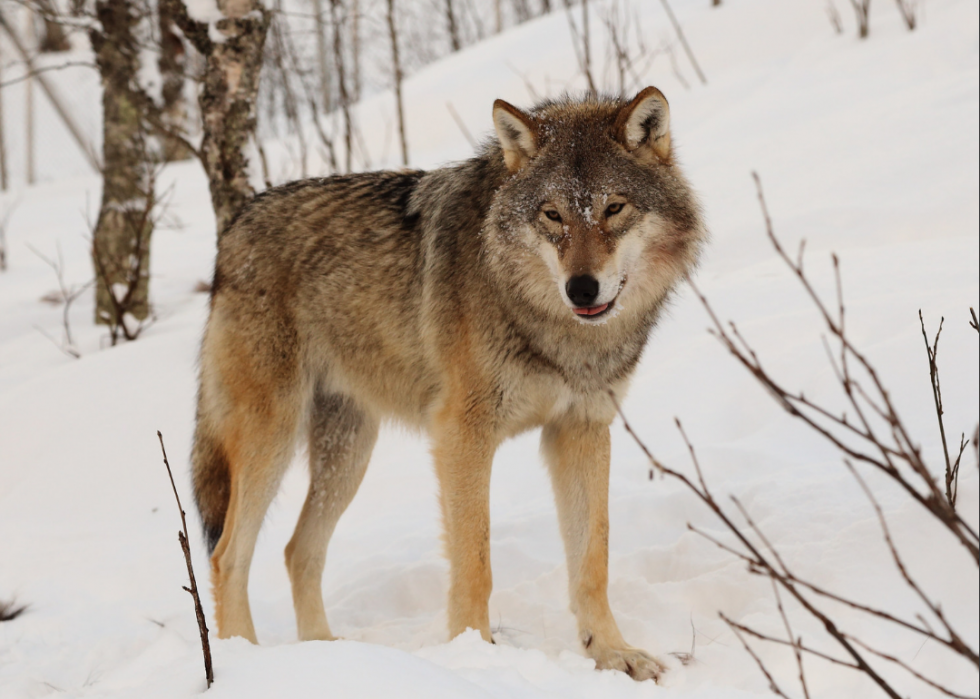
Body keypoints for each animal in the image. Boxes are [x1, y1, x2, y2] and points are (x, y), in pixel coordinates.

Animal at [191, 87, 708, 684]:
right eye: (552, 215)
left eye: (614, 208)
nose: (581, 289)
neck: (554, 329)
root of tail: (234, 226)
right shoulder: (462, 435)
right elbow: (475, 562)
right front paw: (475, 655)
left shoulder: (580, 430)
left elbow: (592, 559)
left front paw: (611, 653)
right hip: (271, 441)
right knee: (228, 555)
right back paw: (245, 660)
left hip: (348, 453)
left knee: (298, 550)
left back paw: (328, 655)